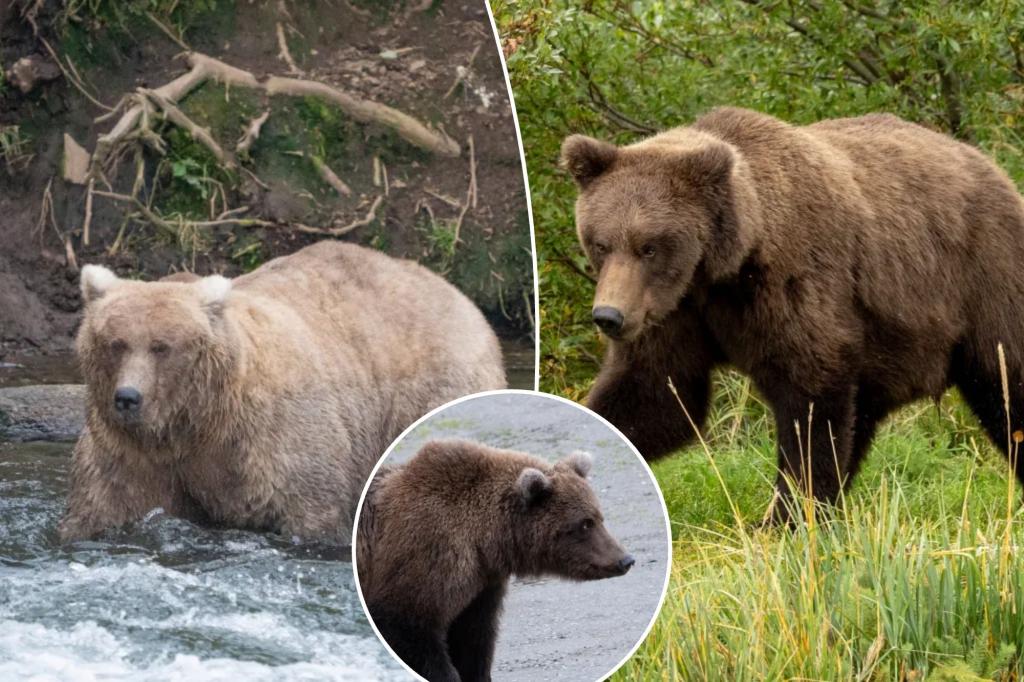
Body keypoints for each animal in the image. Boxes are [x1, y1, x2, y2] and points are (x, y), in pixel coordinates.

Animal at [58, 241, 505, 540]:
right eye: (115, 342)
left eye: (161, 346)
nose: (128, 398)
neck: (196, 422)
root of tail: (459, 296)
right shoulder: (130, 452)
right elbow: (104, 505)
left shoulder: (270, 440)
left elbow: (308, 507)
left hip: (431, 387)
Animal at [356, 438, 634, 675]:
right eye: (585, 524)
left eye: (599, 517)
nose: (625, 559)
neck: (485, 542)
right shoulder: (424, 556)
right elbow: (410, 631)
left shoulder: (480, 586)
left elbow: (473, 640)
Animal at [561, 107, 1024, 516]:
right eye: (600, 243)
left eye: (650, 247)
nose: (609, 316)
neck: (724, 269)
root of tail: (992, 167)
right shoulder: (676, 313)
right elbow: (655, 395)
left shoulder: (793, 284)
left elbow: (811, 401)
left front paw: (786, 515)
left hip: (982, 276)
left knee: (1006, 381)